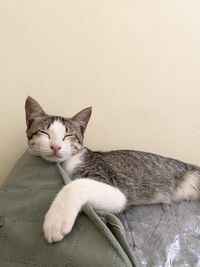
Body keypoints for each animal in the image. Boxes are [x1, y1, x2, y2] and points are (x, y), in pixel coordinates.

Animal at [25, 97, 200, 244]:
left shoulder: (112, 186)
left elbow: (76, 184)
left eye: (68, 136)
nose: (55, 146)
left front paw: (56, 221)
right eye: (44, 133)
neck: (68, 162)